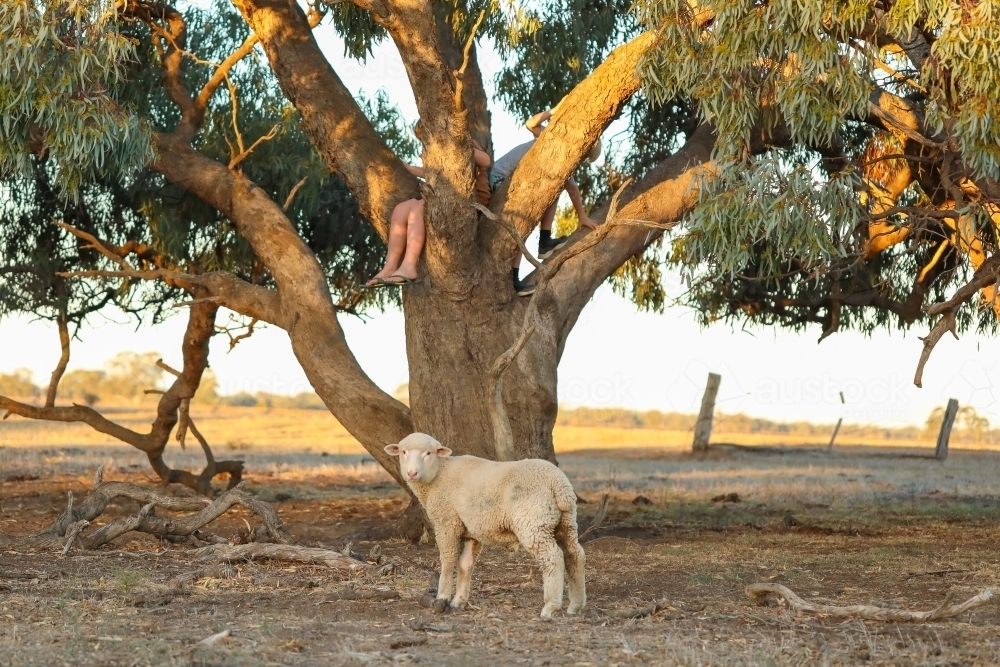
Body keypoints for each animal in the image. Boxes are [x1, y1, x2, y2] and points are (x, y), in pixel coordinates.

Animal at [384, 432, 585, 618]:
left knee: (553, 558)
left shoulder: (446, 522)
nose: (412, 473)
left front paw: (441, 599)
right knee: (575, 554)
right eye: (403, 452)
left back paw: (551, 606)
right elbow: (465, 564)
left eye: (428, 453)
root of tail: (559, 485)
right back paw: (575, 605)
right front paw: (459, 601)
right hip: (565, 522)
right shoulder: (472, 532)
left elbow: (448, 560)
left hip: (533, 522)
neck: (439, 474)